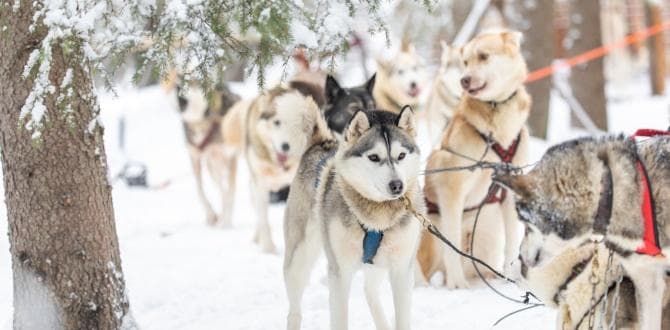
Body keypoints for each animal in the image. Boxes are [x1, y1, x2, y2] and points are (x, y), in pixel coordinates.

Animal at [178, 82, 242, 227]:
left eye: (193, 82)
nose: (180, 98)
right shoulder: (195, 157)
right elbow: (200, 189)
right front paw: (213, 216)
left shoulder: (227, 157)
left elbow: (229, 192)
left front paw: (225, 221)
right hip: (212, 165)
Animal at [284, 109, 426, 330]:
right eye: (374, 157)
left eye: (401, 155)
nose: (397, 185)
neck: (377, 217)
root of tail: (322, 142)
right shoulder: (340, 272)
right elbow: (340, 319)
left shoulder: (402, 269)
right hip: (298, 259)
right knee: (294, 311)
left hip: (378, 263)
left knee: (370, 292)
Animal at [422, 31, 532, 288]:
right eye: (466, 62)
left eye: (483, 56)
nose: (464, 80)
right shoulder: (452, 188)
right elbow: (451, 243)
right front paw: (456, 284)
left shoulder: (511, 188)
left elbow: (513, 241)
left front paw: (512, 277)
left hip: (487, 237)